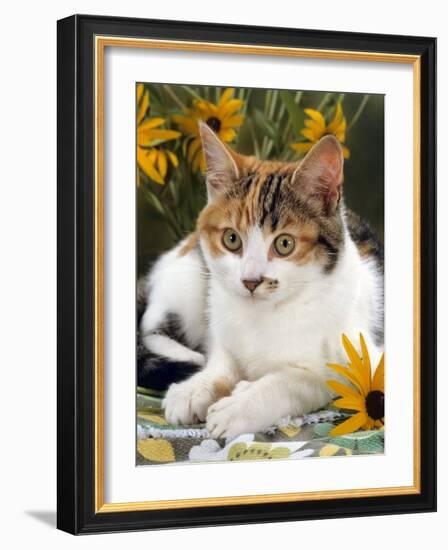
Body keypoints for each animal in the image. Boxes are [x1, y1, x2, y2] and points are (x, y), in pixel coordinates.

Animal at [138, 123, 384, 442]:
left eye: (284, 244)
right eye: (231, 239)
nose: (250, 280)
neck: (265, 312)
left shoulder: (356, 356)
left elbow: (301, 379)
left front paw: (240, 404)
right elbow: (223, 360)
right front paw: (197, 387)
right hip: (190, 275)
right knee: (150, 324)